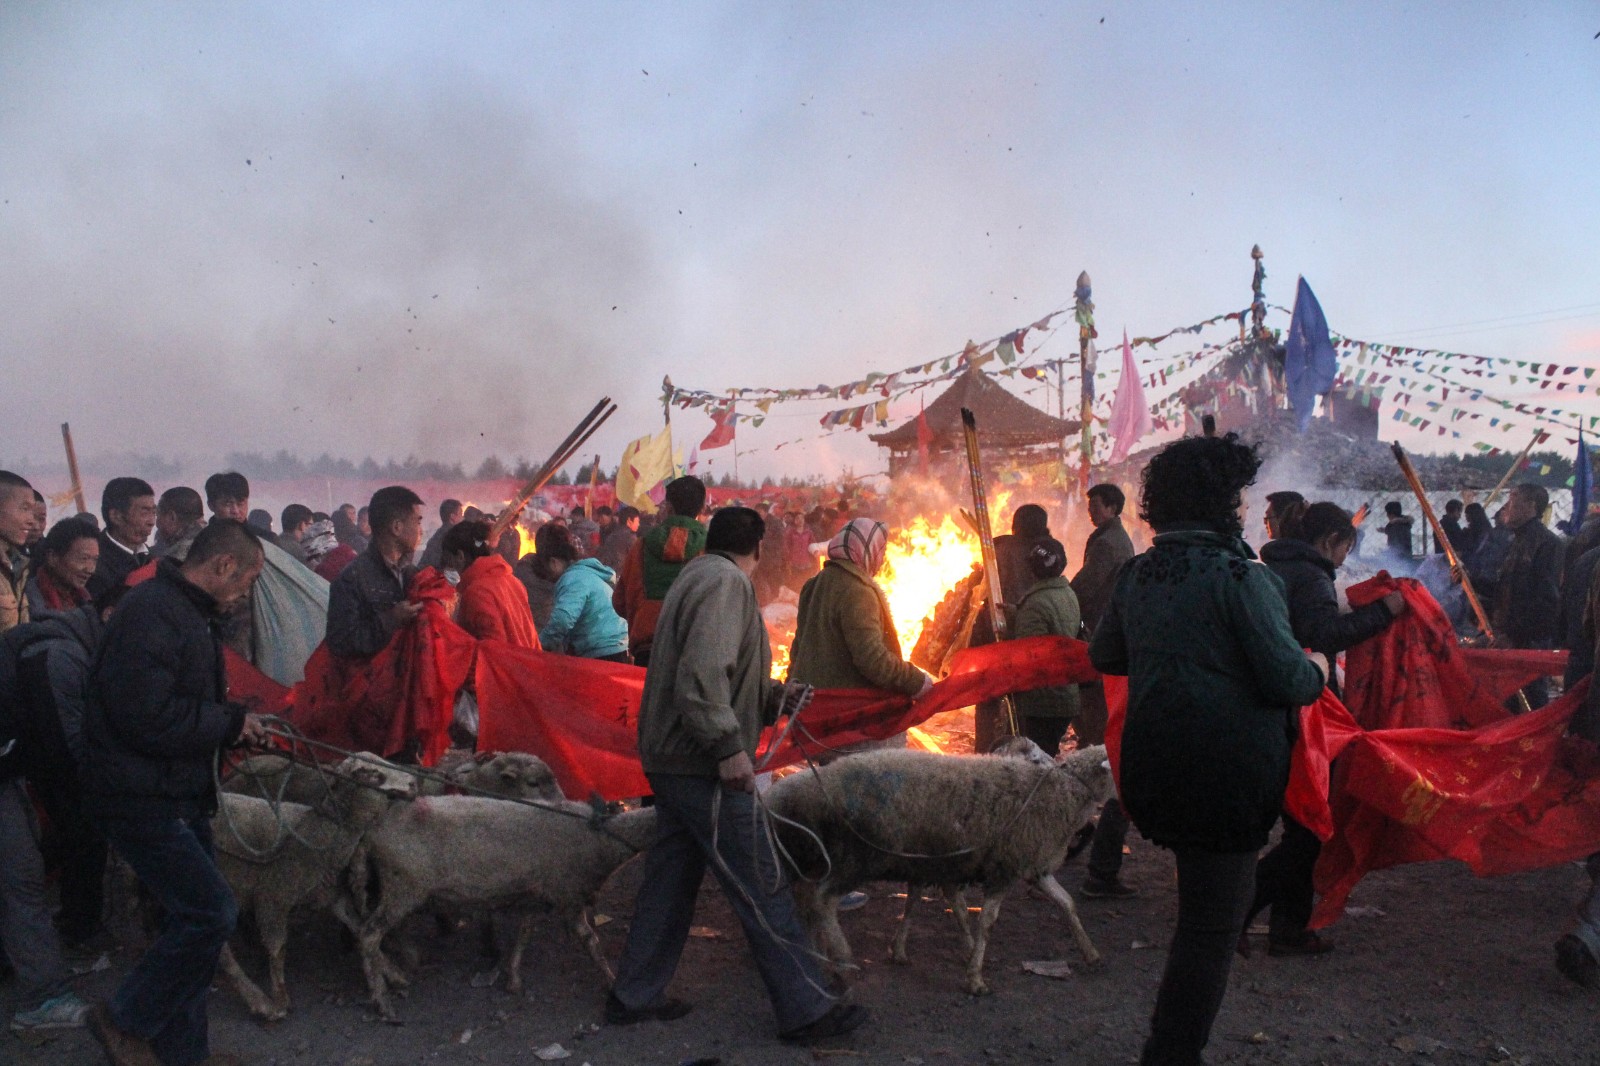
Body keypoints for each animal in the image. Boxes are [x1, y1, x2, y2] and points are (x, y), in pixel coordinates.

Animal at [212, 752, 419, 1017]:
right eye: (369, 773)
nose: (413, 782)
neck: (320, 834)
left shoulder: (332, 895)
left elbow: (359, 927)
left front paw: (391, 971)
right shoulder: (273, 897)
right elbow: (277, 948)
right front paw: (280, 999)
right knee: (223, 952)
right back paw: (259, 1000)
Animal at [350, 797, 656, 1024]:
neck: (604, 839)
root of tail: (371, 834)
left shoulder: (538, 895)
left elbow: (524, 933)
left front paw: (513, 978)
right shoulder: (568, 895)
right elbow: (591, 942)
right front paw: (611, 980)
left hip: (392, 890)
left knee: (372, 932)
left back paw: (394, 976)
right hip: (403, 887)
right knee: (368, 935)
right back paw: (382, 1001)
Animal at [761, 742, 1113, 992]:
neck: (1062, 790)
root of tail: (785, 793)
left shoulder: (1030, 865)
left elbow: (1066, 903)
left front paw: (1091, 953)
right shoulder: (1004, 868)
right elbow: (986, 922)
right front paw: (975, 978)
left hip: (818, 860)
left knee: (807, 905)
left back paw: (817, 956)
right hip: (855, 857)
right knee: (822, 901)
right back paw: (842, 959)